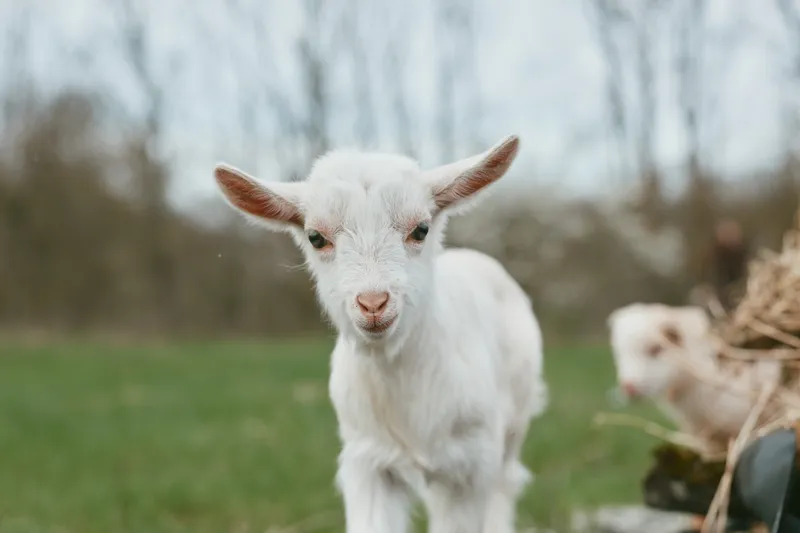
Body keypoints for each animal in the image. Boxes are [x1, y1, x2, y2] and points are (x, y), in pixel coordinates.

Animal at [213, 135, 548, 533]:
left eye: (421, 229)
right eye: (315, 237)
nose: (373, 303)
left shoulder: (471, 462)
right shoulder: (367, 460)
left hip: (513, 423)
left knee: (505, 484)